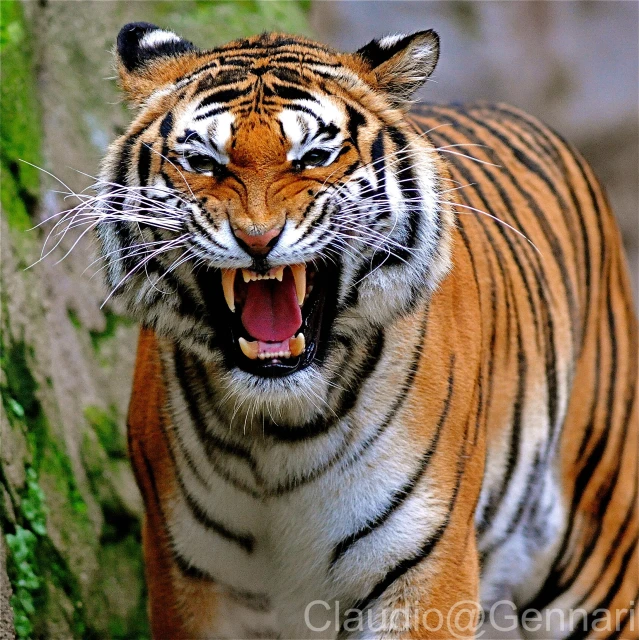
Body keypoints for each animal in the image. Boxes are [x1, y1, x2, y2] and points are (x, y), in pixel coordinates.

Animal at [95, 21, 639, 640]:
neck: (276, 432)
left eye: (313, 156)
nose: (257, 238)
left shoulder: (422, 566)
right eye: (203, 162)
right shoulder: (189, 576)